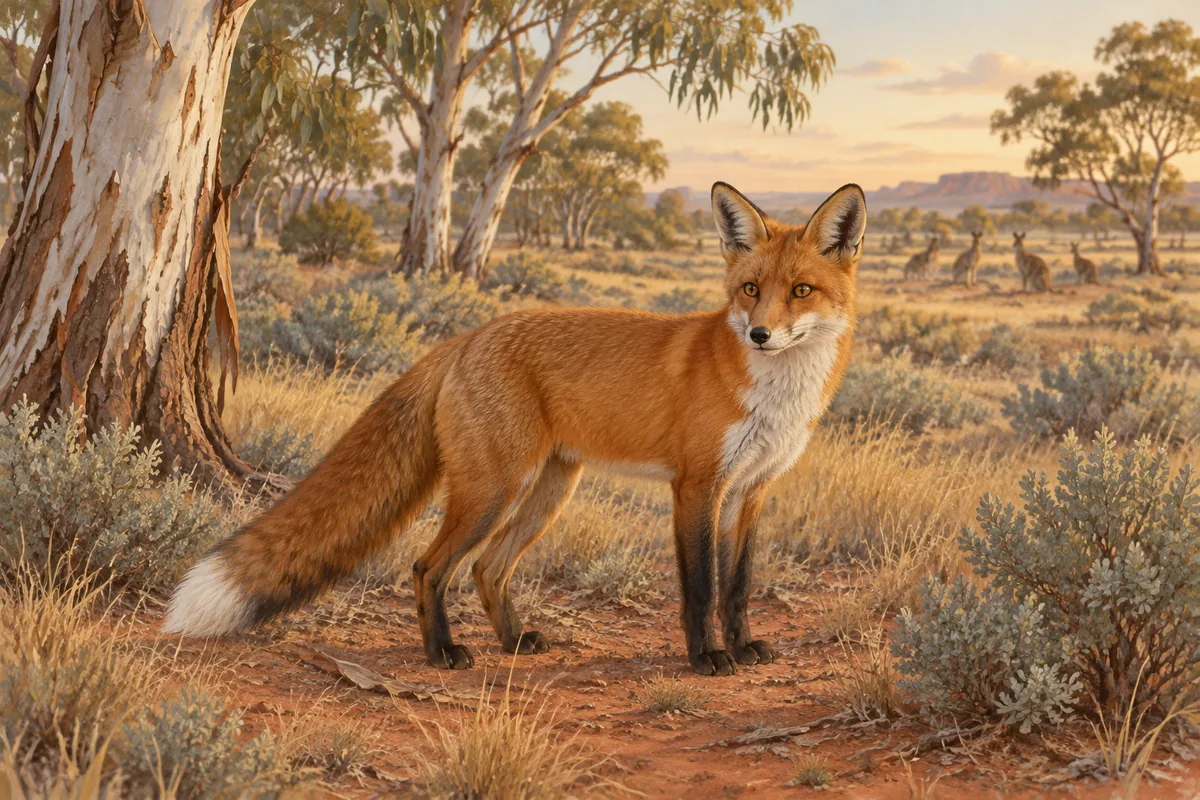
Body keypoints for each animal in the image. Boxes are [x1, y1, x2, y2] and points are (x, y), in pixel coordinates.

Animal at [164, 182, 866, 677]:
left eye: (801, 291)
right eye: (750, 288)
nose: (761, 334)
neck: (773, 393)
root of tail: (469, 335)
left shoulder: (750, 491)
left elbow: (737, 585)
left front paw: (742, 648)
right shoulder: (696, 487)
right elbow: (699, 588)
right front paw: (706, 659)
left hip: (548, 491)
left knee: (487, 570)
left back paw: (511, 642)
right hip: (493, 490)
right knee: (429, 566)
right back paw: (443, 653)